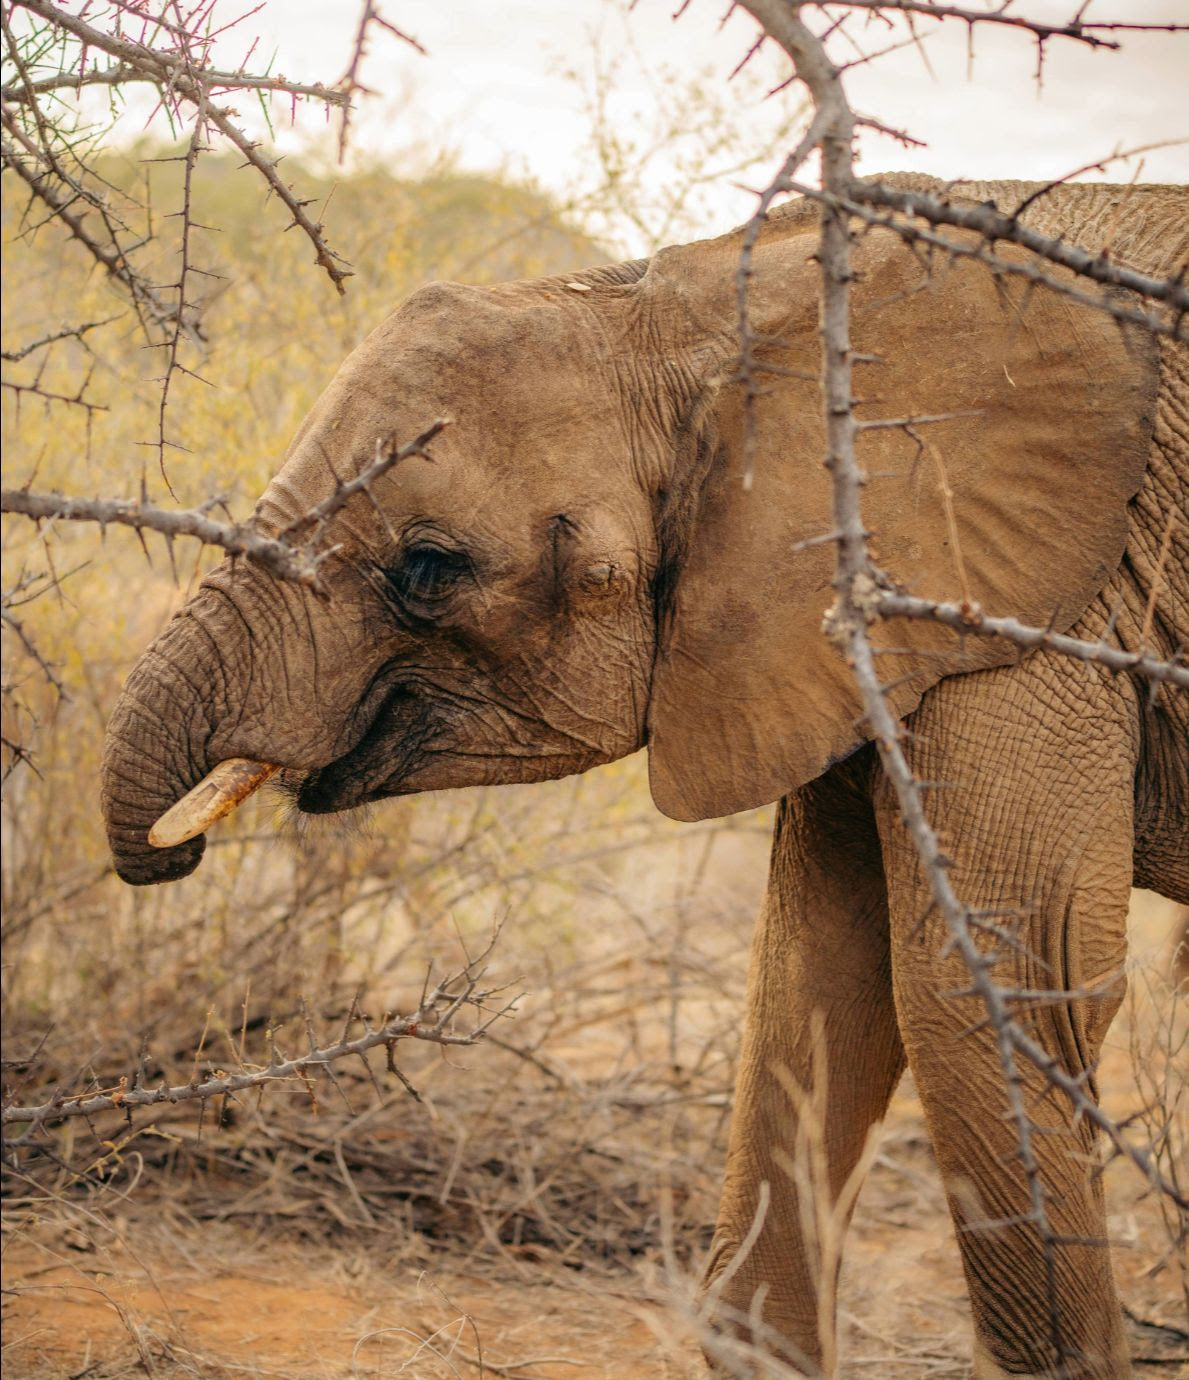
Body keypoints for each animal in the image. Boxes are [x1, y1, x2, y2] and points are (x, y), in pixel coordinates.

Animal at [102, 175, 1187, 1378]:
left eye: (428, 566)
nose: (179, 848)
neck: (710, 305)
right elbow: (818, 971)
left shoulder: (1036, 609)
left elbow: (990, 979)